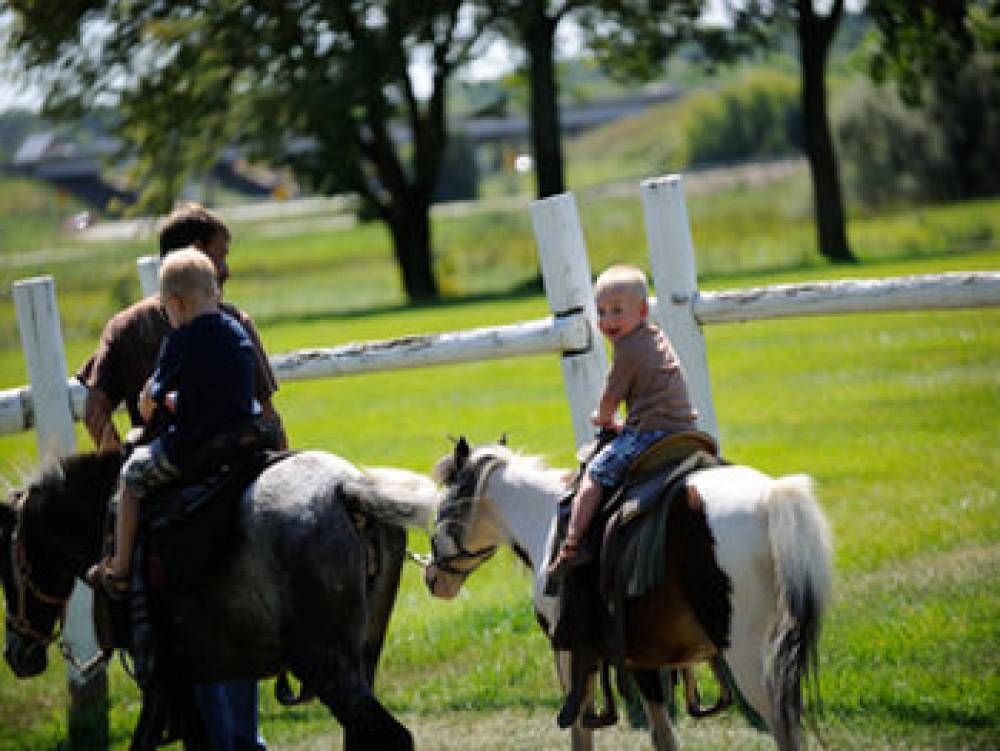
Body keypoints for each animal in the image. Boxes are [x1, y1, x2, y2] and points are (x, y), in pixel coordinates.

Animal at [0, 450, 438, 748]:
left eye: (6, 567)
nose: (16, 654)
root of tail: (346, 491)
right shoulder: (183, 679)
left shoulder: (166, 676)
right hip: (363, 657)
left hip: (326, 664)